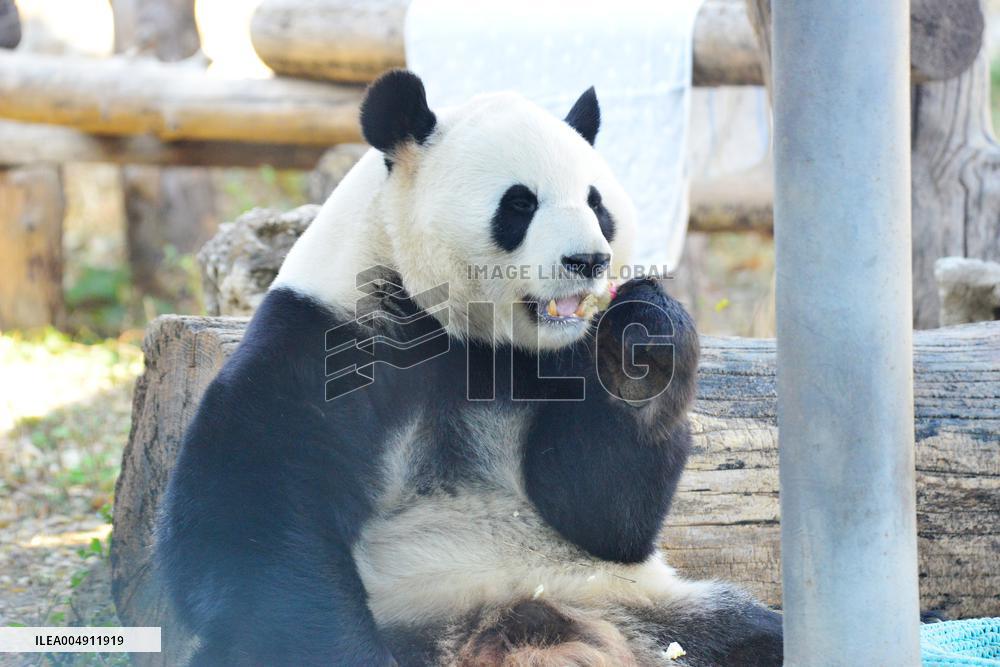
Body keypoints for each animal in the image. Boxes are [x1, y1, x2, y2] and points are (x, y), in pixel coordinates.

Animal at [156, 70, 783, 666]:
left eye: (596, 203)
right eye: (520, 203)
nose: (588, 260)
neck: (461, 331)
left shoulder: (553, 364)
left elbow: (602, 514)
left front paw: (641, 341)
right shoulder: (321, 342)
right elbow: (247, 520)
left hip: (643, 607)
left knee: (750, 634)